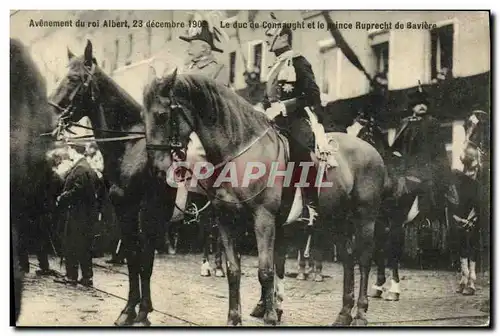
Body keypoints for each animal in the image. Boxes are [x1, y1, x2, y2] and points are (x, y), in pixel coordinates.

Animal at [143, 70, 388, 326]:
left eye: (161, 115)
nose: (156, 167)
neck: (239, 152)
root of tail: (371, 150)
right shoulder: (226, 220)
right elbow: (234, 270)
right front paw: (234, 318)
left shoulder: (264, 219)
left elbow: (266, 270)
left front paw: (270, 316)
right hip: (336, 220)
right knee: (349, 258)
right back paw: (344, 314)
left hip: (365, 218)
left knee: (364, 259)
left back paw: (360, 314)